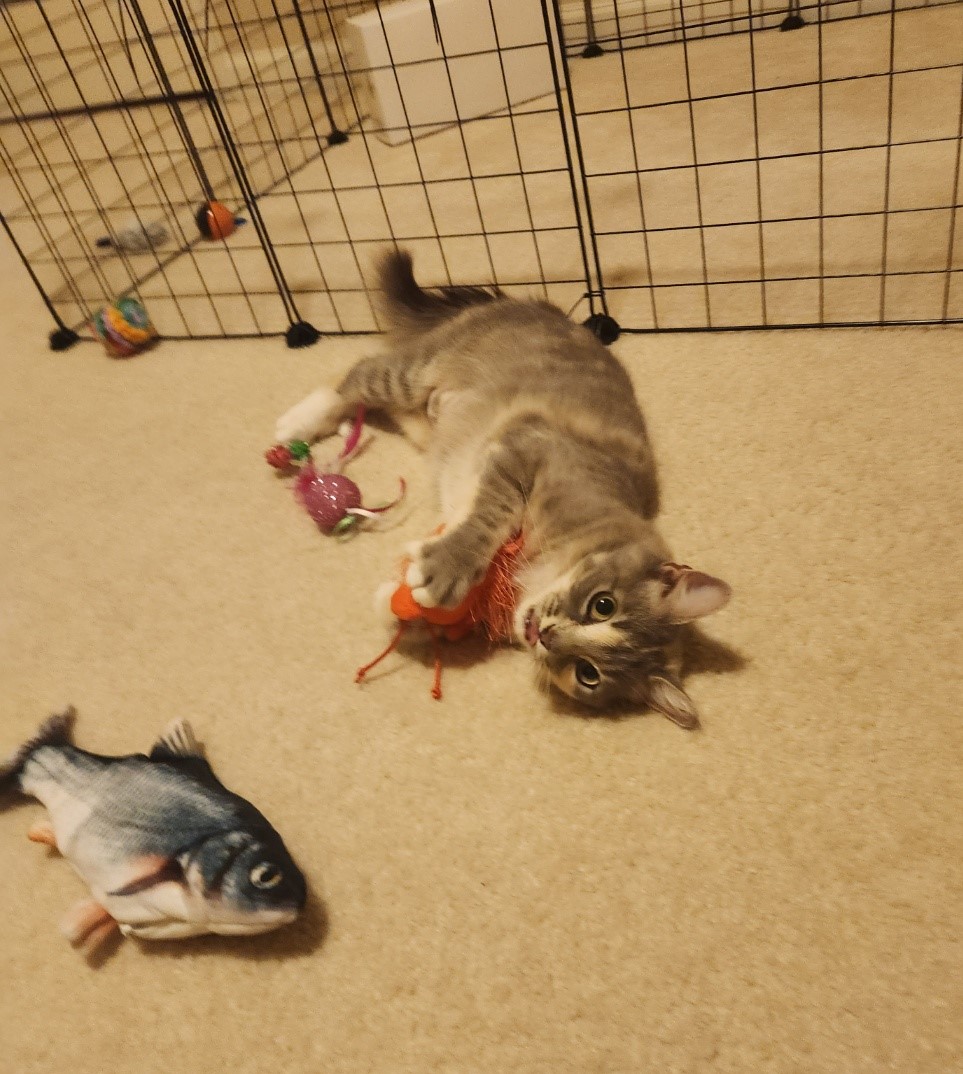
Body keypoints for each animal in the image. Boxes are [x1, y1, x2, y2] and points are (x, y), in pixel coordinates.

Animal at [275, 250, 731, 727]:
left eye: (588, 674)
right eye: (603, 605)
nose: (546, 635)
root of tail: (541, 306)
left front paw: (398, 602)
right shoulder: (525, 449)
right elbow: (489, 517)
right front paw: (443, 569)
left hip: (425, 421)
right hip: (414, 372)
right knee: (357, 374)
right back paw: (299, 421)